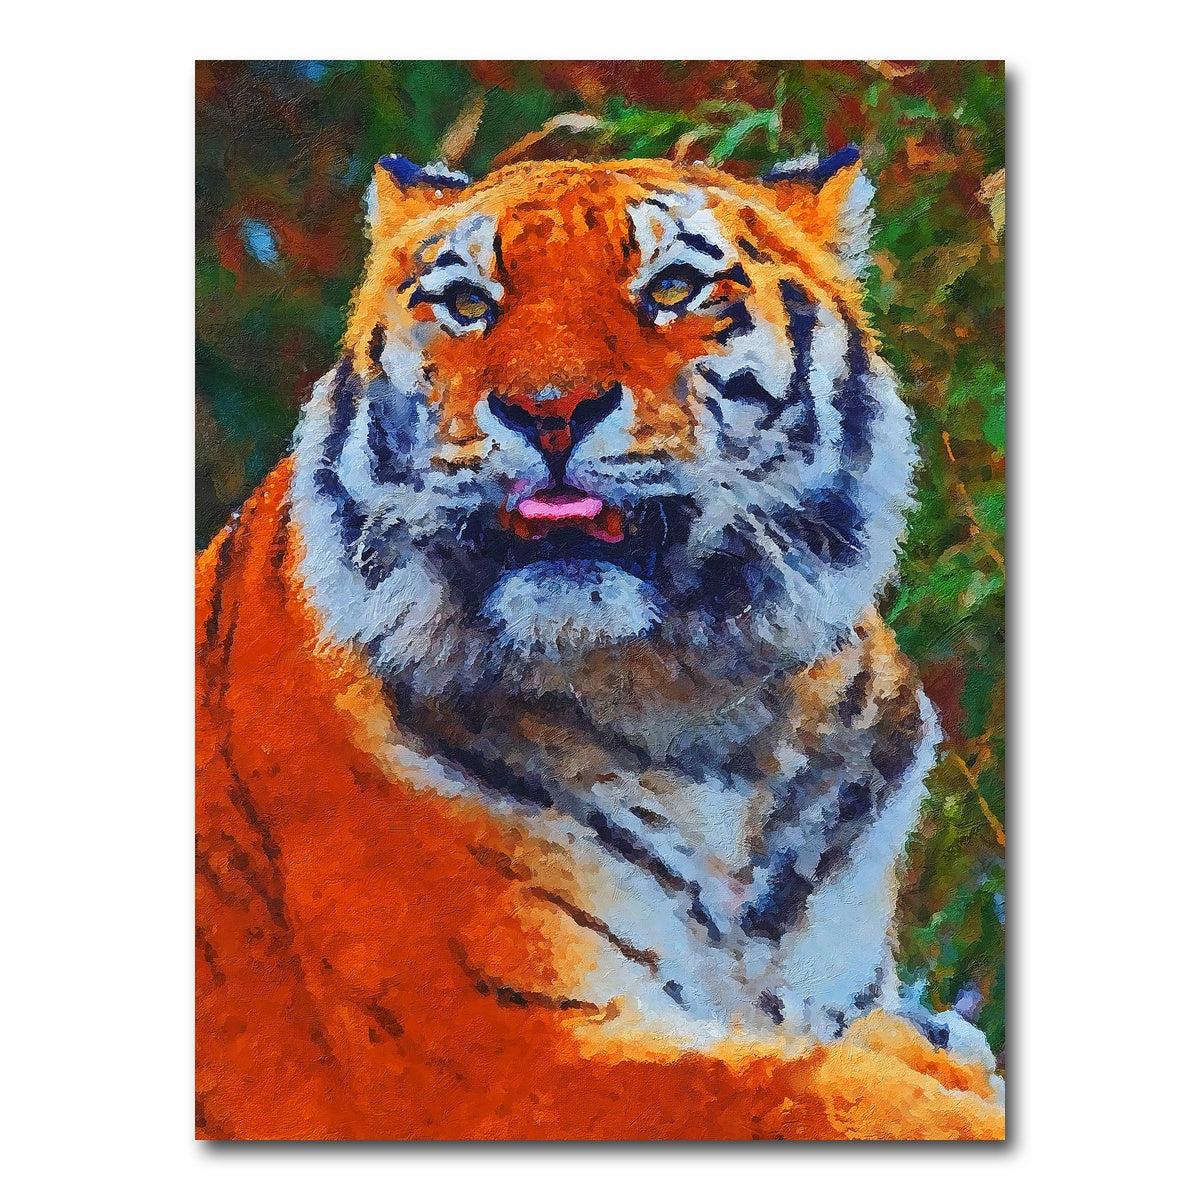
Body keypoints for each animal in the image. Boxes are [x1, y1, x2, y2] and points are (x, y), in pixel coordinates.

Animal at [196, 149, 1005, 1140]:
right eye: (468, 302)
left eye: (673, 288)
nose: (549, 408)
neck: (695, 706)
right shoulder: (508, 1057)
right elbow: (809, 1090)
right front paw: (939, 1068)